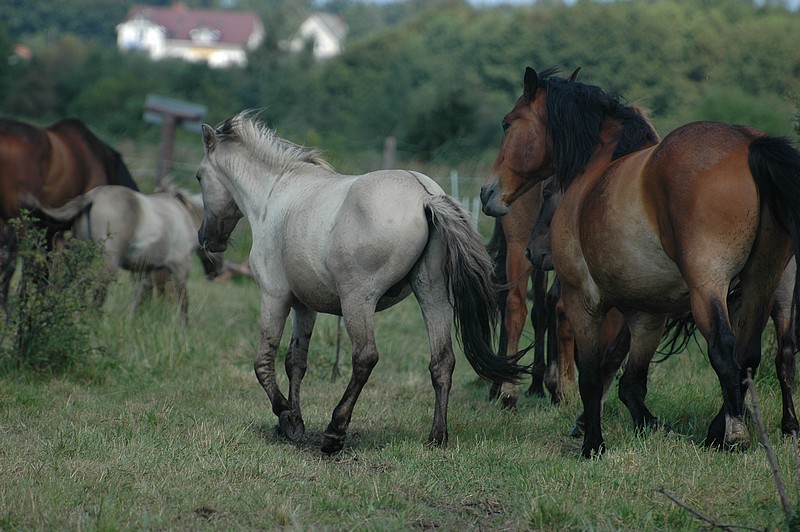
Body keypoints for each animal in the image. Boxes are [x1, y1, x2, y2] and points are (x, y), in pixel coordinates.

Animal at [196, 111, 528, 454]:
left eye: (198, 177)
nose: (205, 239)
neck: (275, 193)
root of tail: (425, 196)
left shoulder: (275, 297)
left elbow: (263, 362)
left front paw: (285, 415)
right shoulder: (304, 307)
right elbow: (295, 362)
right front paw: (296, 423)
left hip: (358, 301)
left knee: (365, 357)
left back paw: (335, 431)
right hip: (432, 294)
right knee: (442, 361)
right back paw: (437, 436)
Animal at [482, 66, 800, 458]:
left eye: (507, 124)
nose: (487, 192)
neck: (598, 167)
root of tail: (749, 143)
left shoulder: (582, 299)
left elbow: (592, 375)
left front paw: (592, 443)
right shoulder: (648, 311)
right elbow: (631, 382)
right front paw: (650, 426)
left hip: (709, 284)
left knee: (726, 349)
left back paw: (734, 432)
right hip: (762, 282)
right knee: (752, 354)